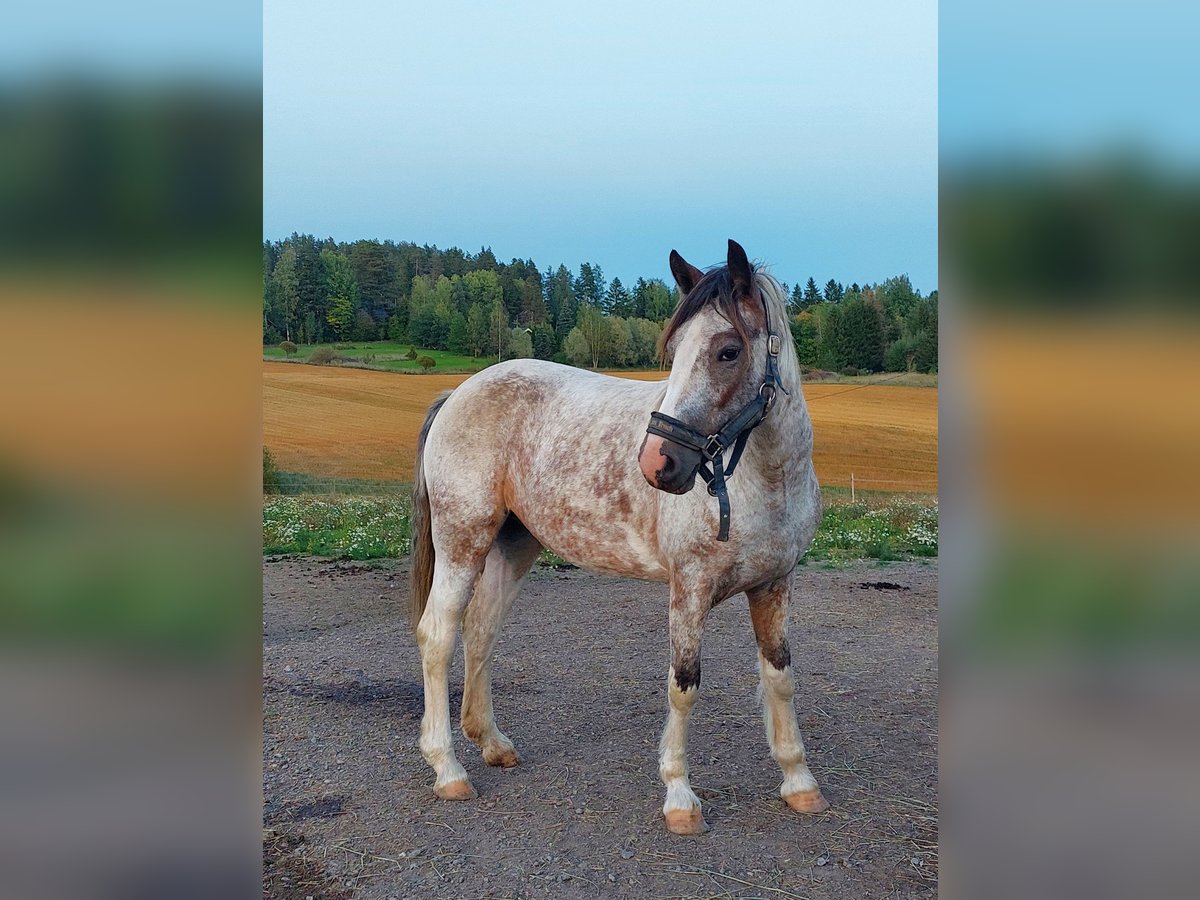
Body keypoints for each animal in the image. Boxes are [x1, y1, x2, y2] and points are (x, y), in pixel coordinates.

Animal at [410, 240, 825, 840]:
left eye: (727, 351)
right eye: (674, 349)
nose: (658, 463)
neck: (765, 480)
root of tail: (459, 392)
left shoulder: (775, 584)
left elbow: (780, 677)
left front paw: (798, 781)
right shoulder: (689, 588)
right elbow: (684, 684)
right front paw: (679, 796)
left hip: (514, 545)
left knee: (481, 630)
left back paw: (491, 742)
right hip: (462, 541)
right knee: (438, 636)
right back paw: (447, 768)